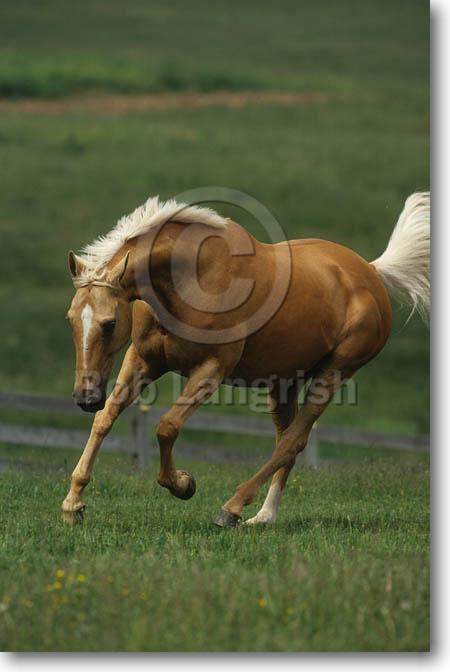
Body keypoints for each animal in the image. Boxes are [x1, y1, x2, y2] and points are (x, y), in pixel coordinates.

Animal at [61, 192, 430, 528]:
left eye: (109, 324)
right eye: (71, 318)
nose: (85, 398)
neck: (190, 277)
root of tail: (371, 272)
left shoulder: (210, 370)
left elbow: (167, 427)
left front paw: (183, 484)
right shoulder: (143, 360)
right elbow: (106, 419)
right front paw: (73, 504)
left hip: (334, 373)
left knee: (292, 442)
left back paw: (232, 509)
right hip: (284, 383)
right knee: (288, 442)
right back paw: (263, 517)